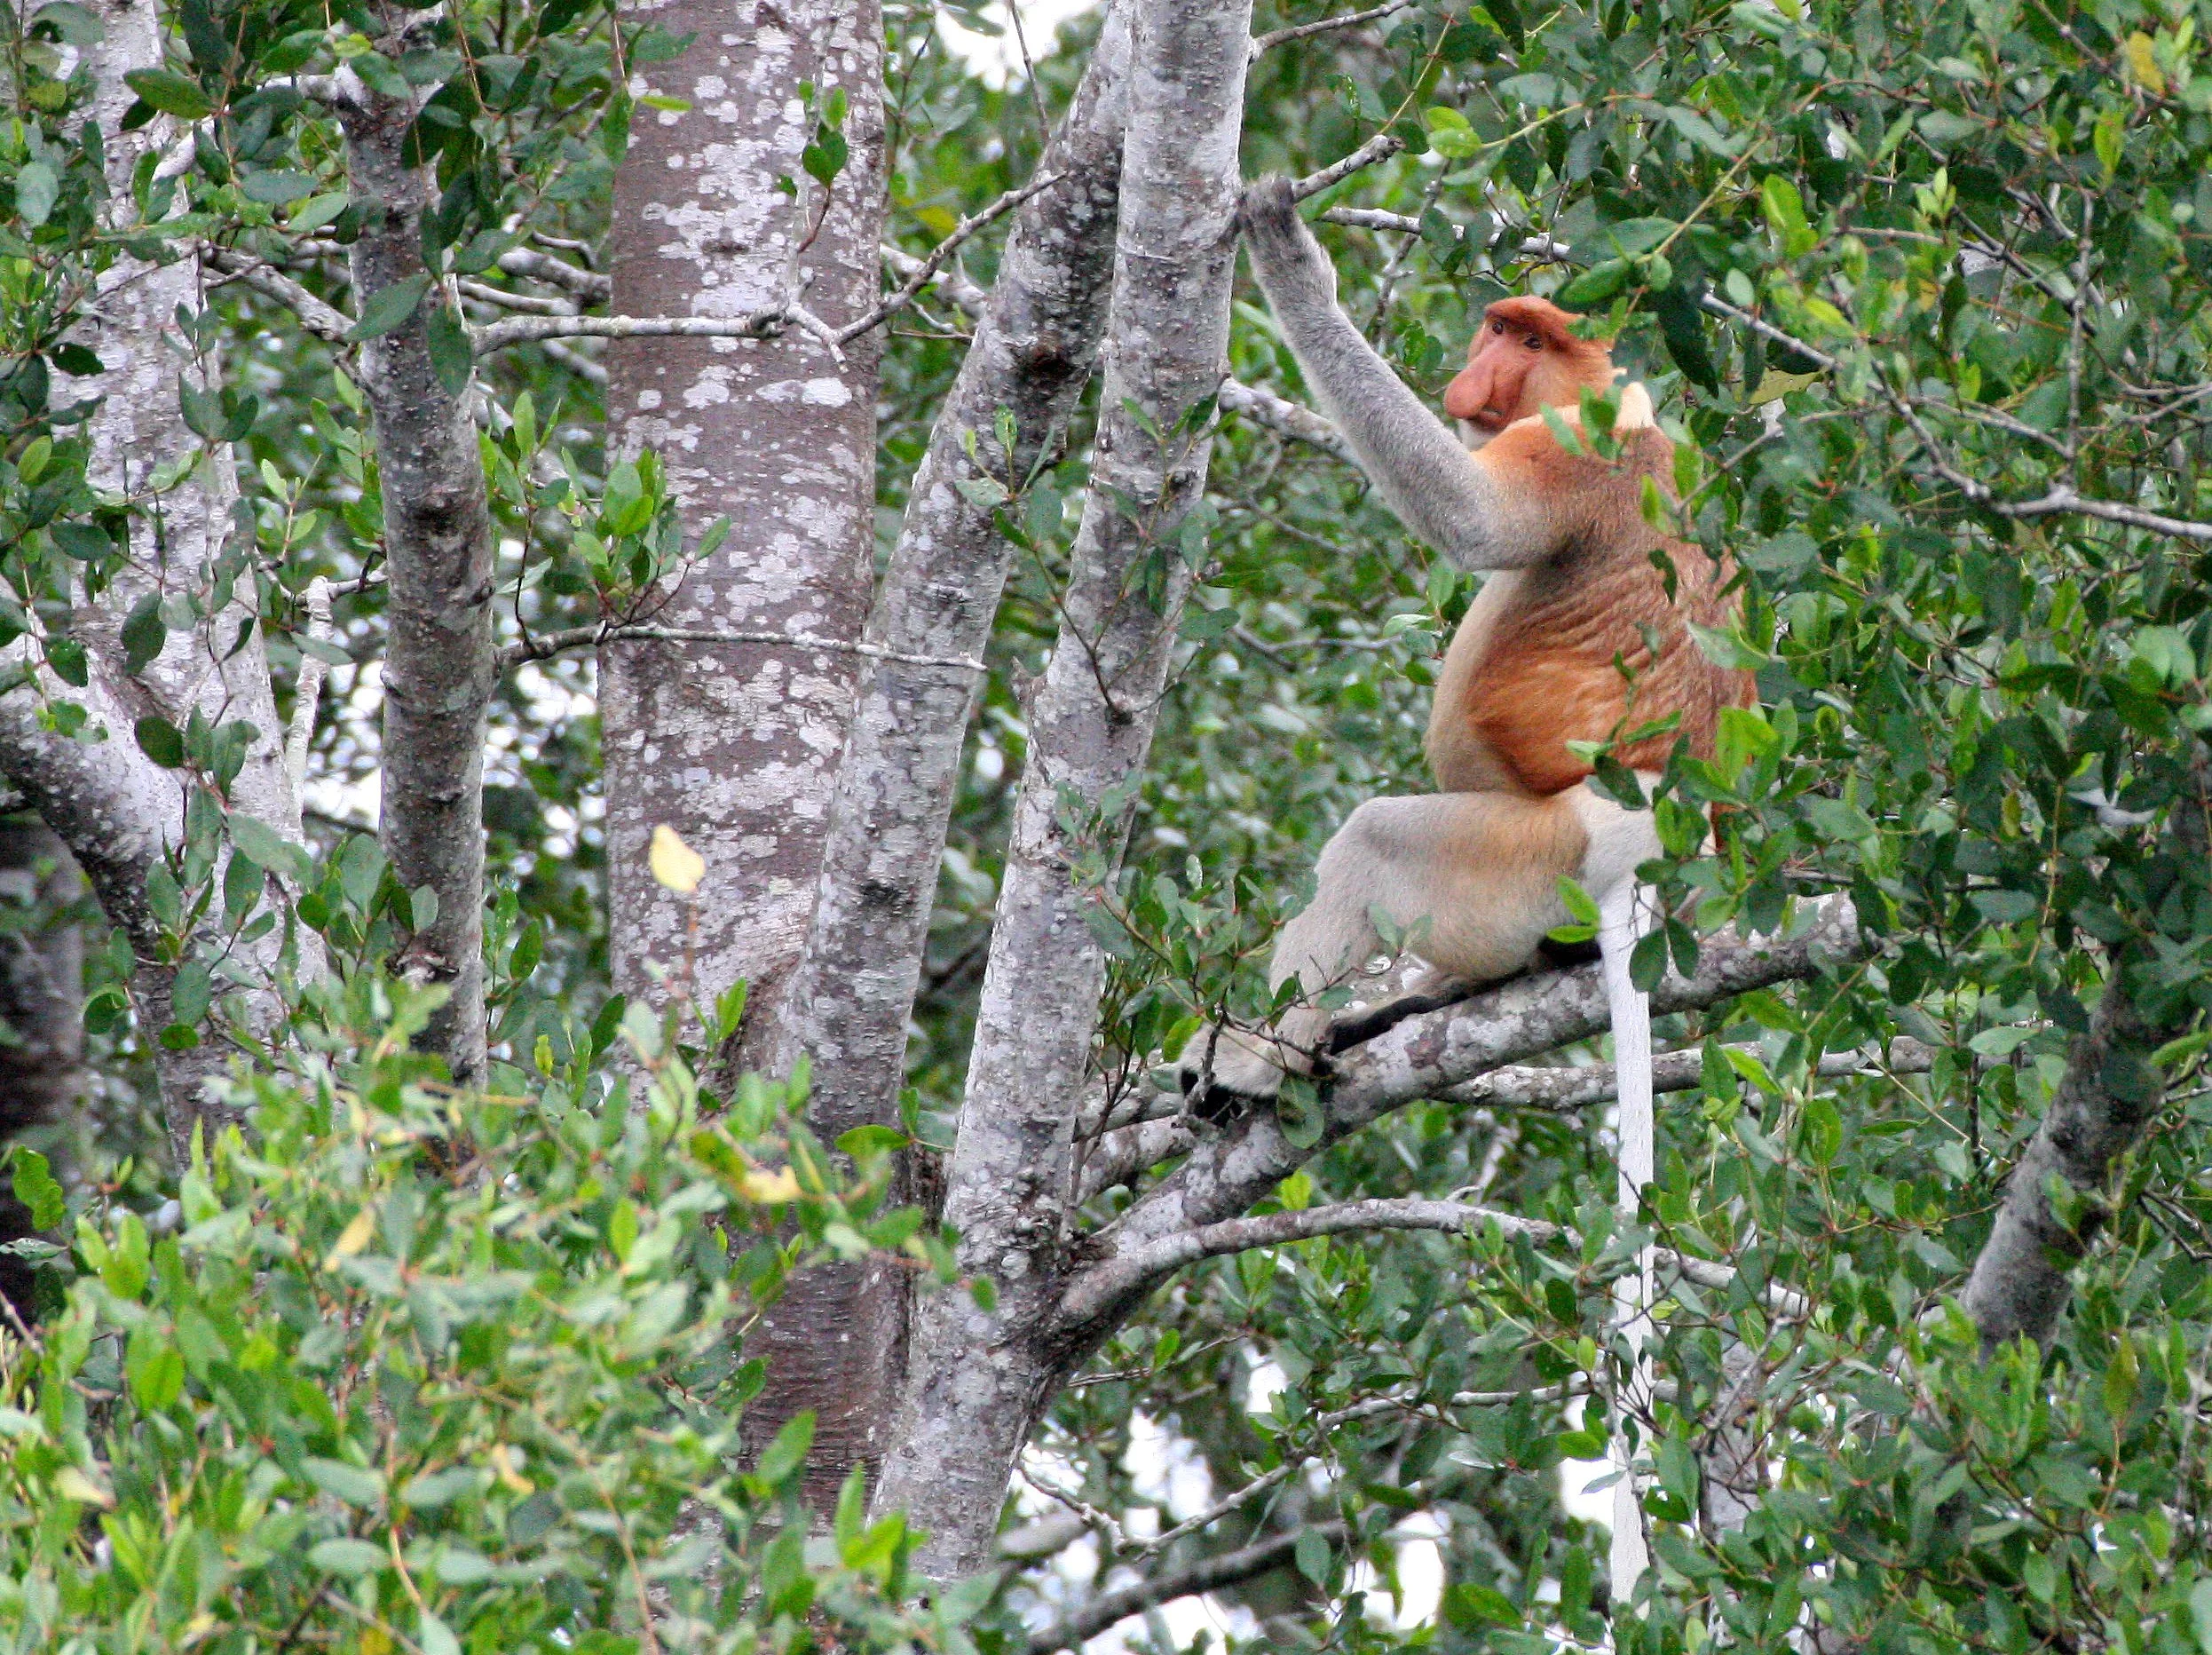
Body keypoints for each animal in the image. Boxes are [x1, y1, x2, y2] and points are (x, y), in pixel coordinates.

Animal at [1182, 176, 1753, 1114]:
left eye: (1533, 339)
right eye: (1498, 326)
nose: (1476, 376)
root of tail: (1651, 863)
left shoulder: (1571, 448)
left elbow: (1472, 519)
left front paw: (1297, 267)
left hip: (1535, 862)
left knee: (1377, 839)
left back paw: (1254, 1062)